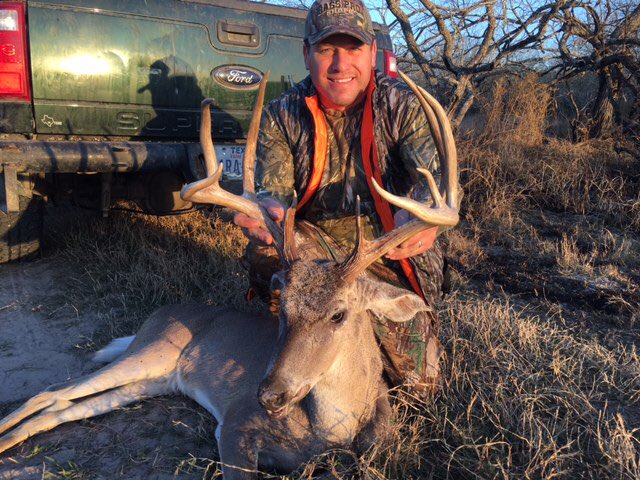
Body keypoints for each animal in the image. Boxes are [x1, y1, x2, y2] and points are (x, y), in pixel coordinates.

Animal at [0, 70, 458, 479]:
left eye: (338, 314)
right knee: (49, 392)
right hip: (152, 352)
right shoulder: (235, 424)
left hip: (155, 379)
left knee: (62, 408)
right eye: (282, 308)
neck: (329, 430)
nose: (270, 394)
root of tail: (158, 315)